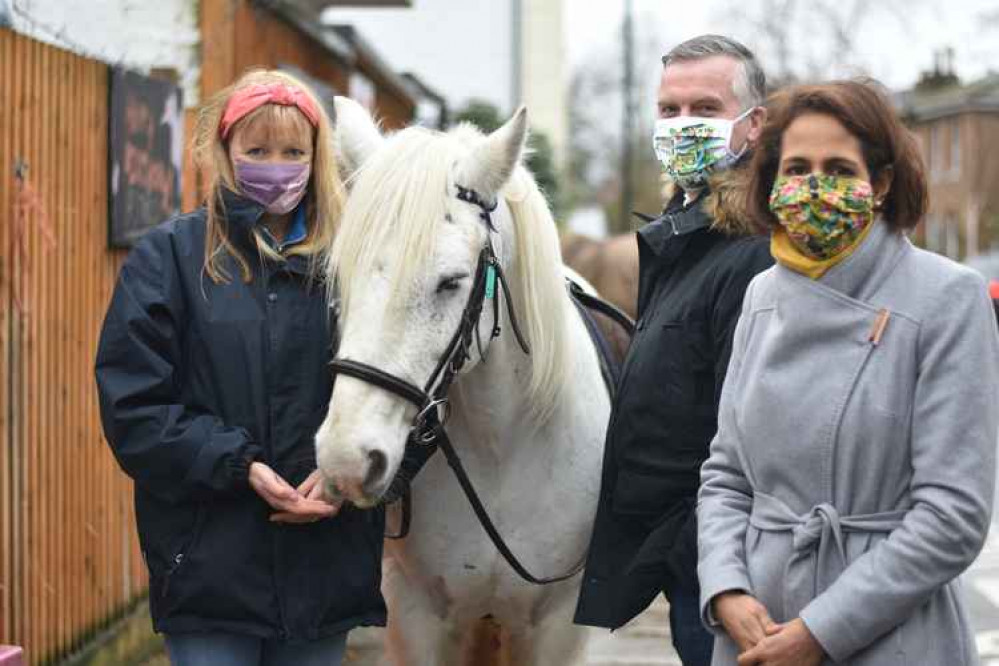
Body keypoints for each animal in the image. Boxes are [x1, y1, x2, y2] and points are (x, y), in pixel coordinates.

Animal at [316, 98, 612, 664]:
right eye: (341, 277)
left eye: (450, 281)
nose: (345, 461)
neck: (503, 451)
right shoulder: (416, 617)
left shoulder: (557, 626)